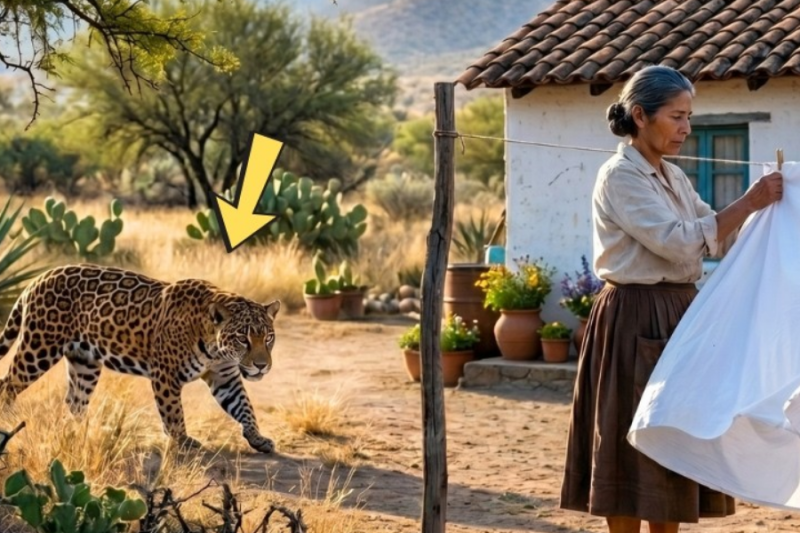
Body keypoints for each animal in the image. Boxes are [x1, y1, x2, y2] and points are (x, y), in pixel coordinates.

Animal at [0, 263, 280, 454]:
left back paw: (79, 433)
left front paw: (257, 438)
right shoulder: (166, 375)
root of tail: (38, 277)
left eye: (268, 338)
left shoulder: (225, 376)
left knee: (74, 401)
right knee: (8, 384)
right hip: (39, 349)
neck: (214, 345)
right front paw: (184, 442)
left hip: (85, 362)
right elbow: (173, 413)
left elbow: (244, 407)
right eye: (243, 338)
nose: (261, 366)